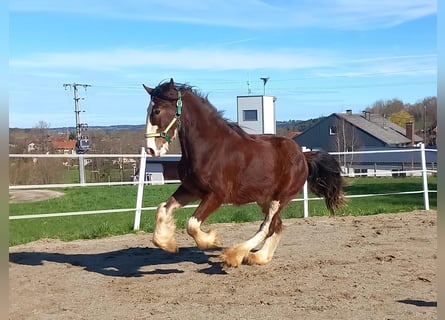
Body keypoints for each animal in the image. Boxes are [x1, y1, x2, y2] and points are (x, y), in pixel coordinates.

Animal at [142, 79, 344, 266]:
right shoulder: (190, 189)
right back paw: (259, 257)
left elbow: (192, 224)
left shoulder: (216, 195)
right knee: (277, 225)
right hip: (265, 198)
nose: (151, 149)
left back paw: (235, 255)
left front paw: (213, 240)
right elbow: (162, 209)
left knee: (266, 226)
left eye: (156, 111)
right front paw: (167, 244)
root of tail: (303, 156)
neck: (209, 148)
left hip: (281, 197)